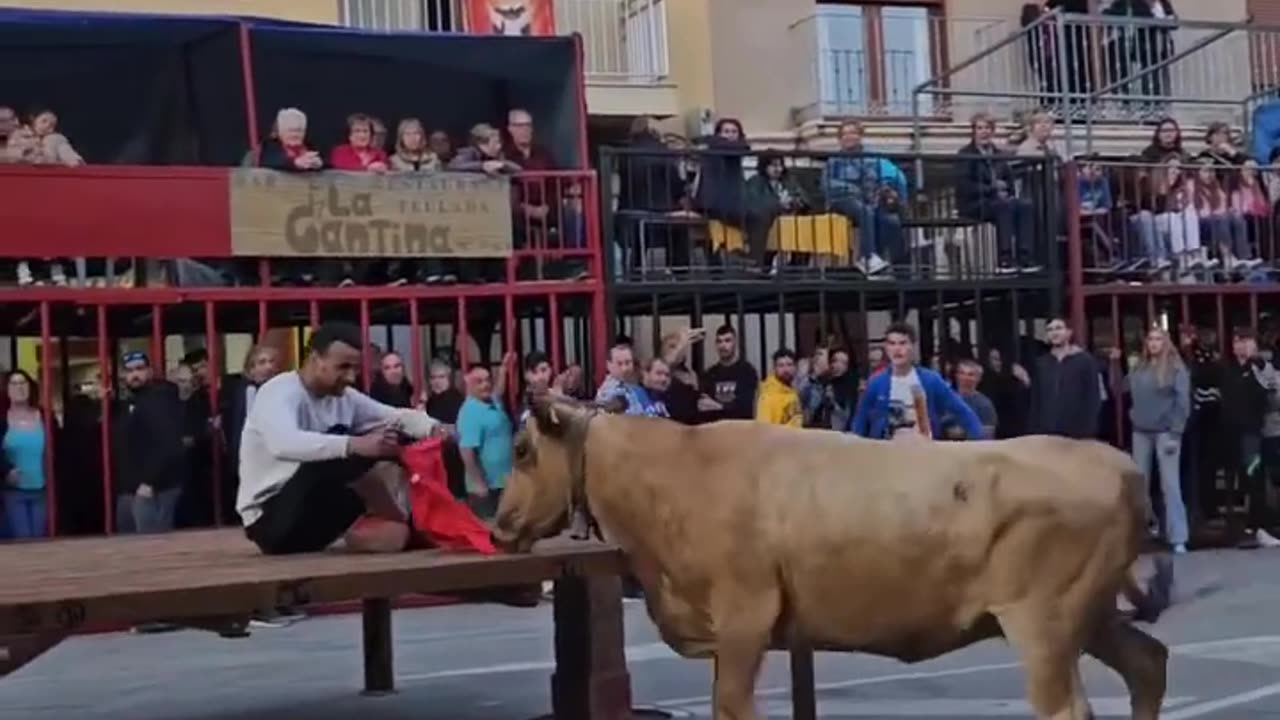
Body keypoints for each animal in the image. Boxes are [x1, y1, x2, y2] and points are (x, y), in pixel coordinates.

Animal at [494, 397, 1172, 717]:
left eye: (522, 448)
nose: (499, 528)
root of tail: (1117, 462)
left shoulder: (744, 620)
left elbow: (732, 707)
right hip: (1089, 615)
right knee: (1148, 664)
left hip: (1044, 624)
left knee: (1070, 706)